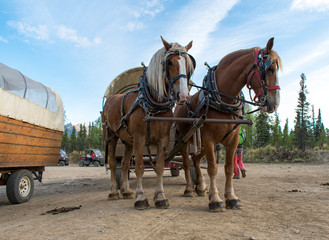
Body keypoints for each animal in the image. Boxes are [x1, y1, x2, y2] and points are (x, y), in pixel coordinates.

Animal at [102, 36, 195, 210]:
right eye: (169, 62)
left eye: (188, 63)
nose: (183, 96)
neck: (152, 104)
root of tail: (111, 99)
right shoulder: (139, 138)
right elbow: (139, 167)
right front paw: (141, 197)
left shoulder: (163, 139)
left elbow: (159, 166)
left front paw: (160, 197)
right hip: (112, 136)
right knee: (113, 163)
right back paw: (113, 192)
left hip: (128, 141)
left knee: (125, 163)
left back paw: (126, 191)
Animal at [176, 36, 280, 211]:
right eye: (270, 69)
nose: (275, 103)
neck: (222, 100)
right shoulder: (209, 139)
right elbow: (212, 168)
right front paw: (215, 199)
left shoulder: (233, 140)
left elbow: (229, 168)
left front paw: (231, 197)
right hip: (184, 140)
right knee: (186, 162)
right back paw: (190, 189)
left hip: (201, 144)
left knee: (195, 161)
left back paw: (201, 186)